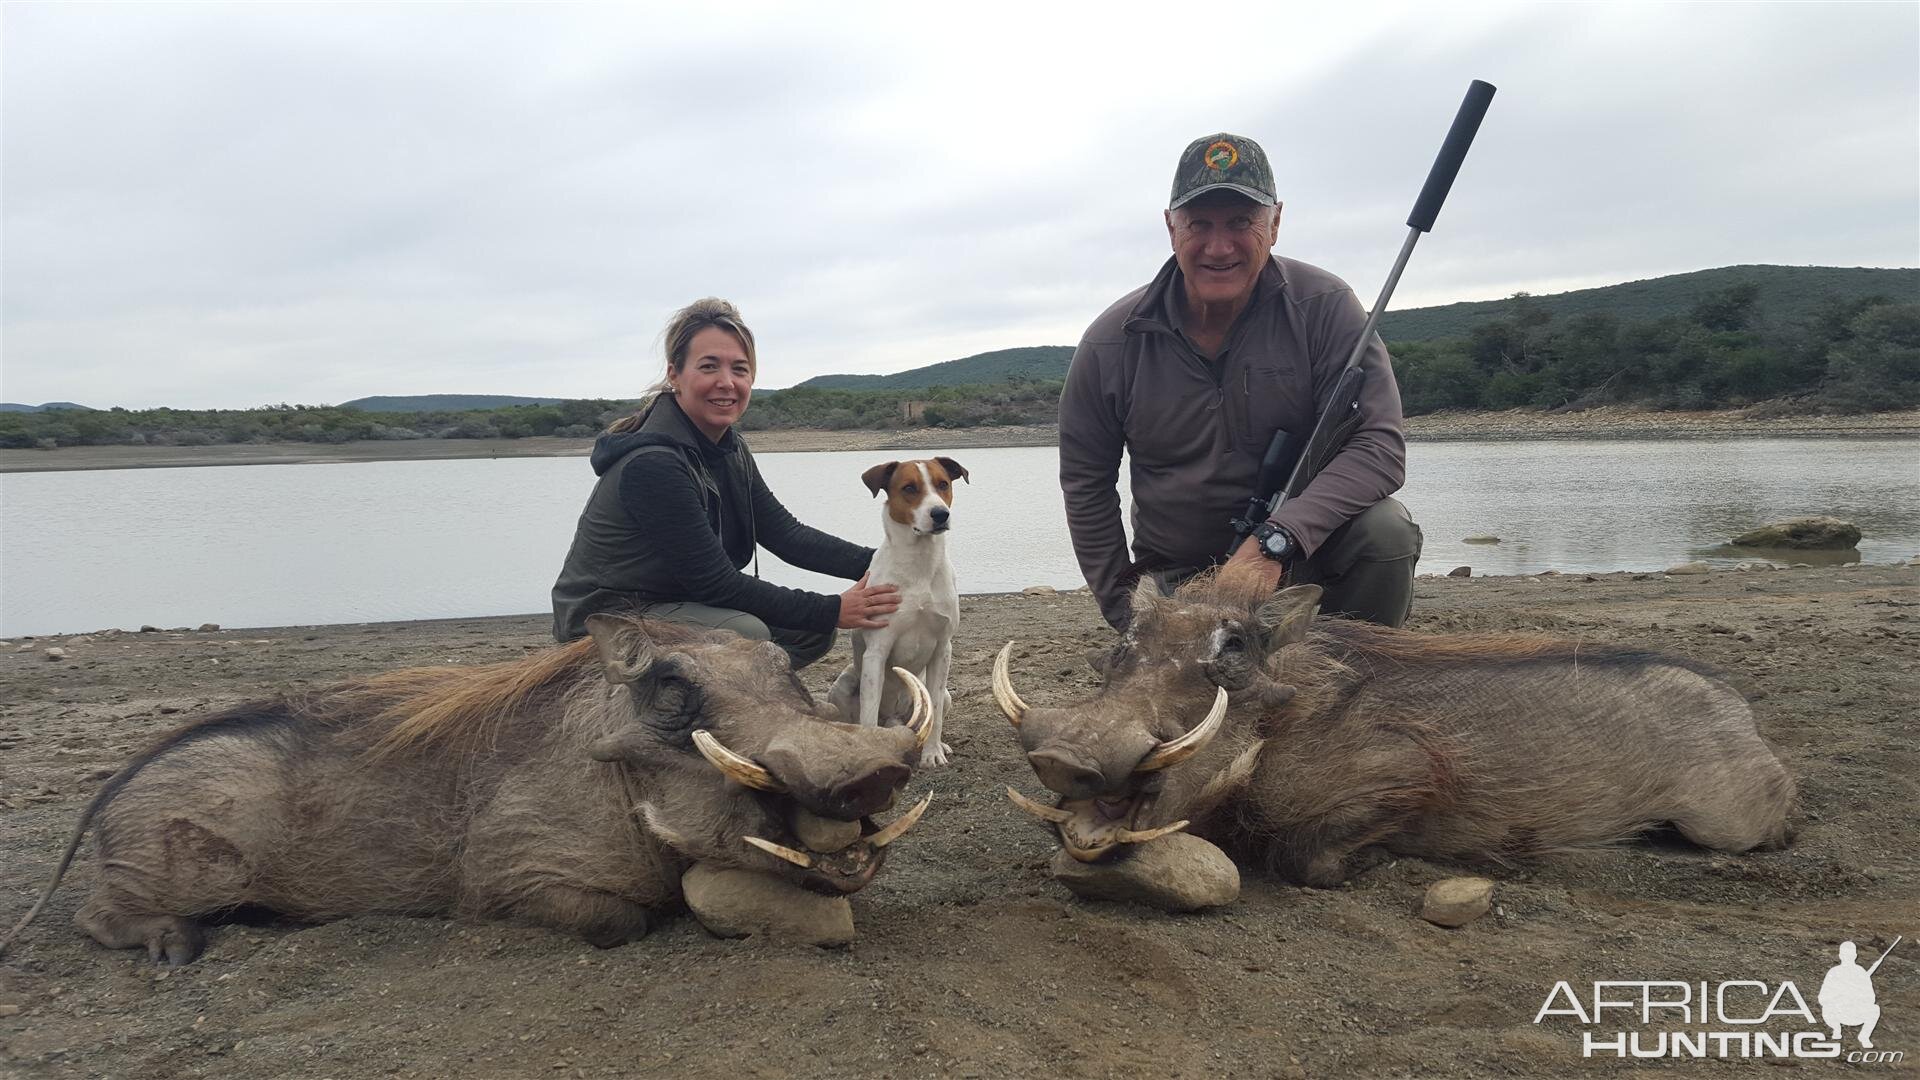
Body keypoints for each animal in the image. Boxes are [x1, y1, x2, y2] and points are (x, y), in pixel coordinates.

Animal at [833, 453, 967, 764]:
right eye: (909, 488)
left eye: (943, 484)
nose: (940, 514)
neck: (919, 565)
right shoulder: (877, 651)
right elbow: (868, 714)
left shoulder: (943, 648)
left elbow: (936, 715)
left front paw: (933, 753)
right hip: (842, 684)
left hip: (944, 695)